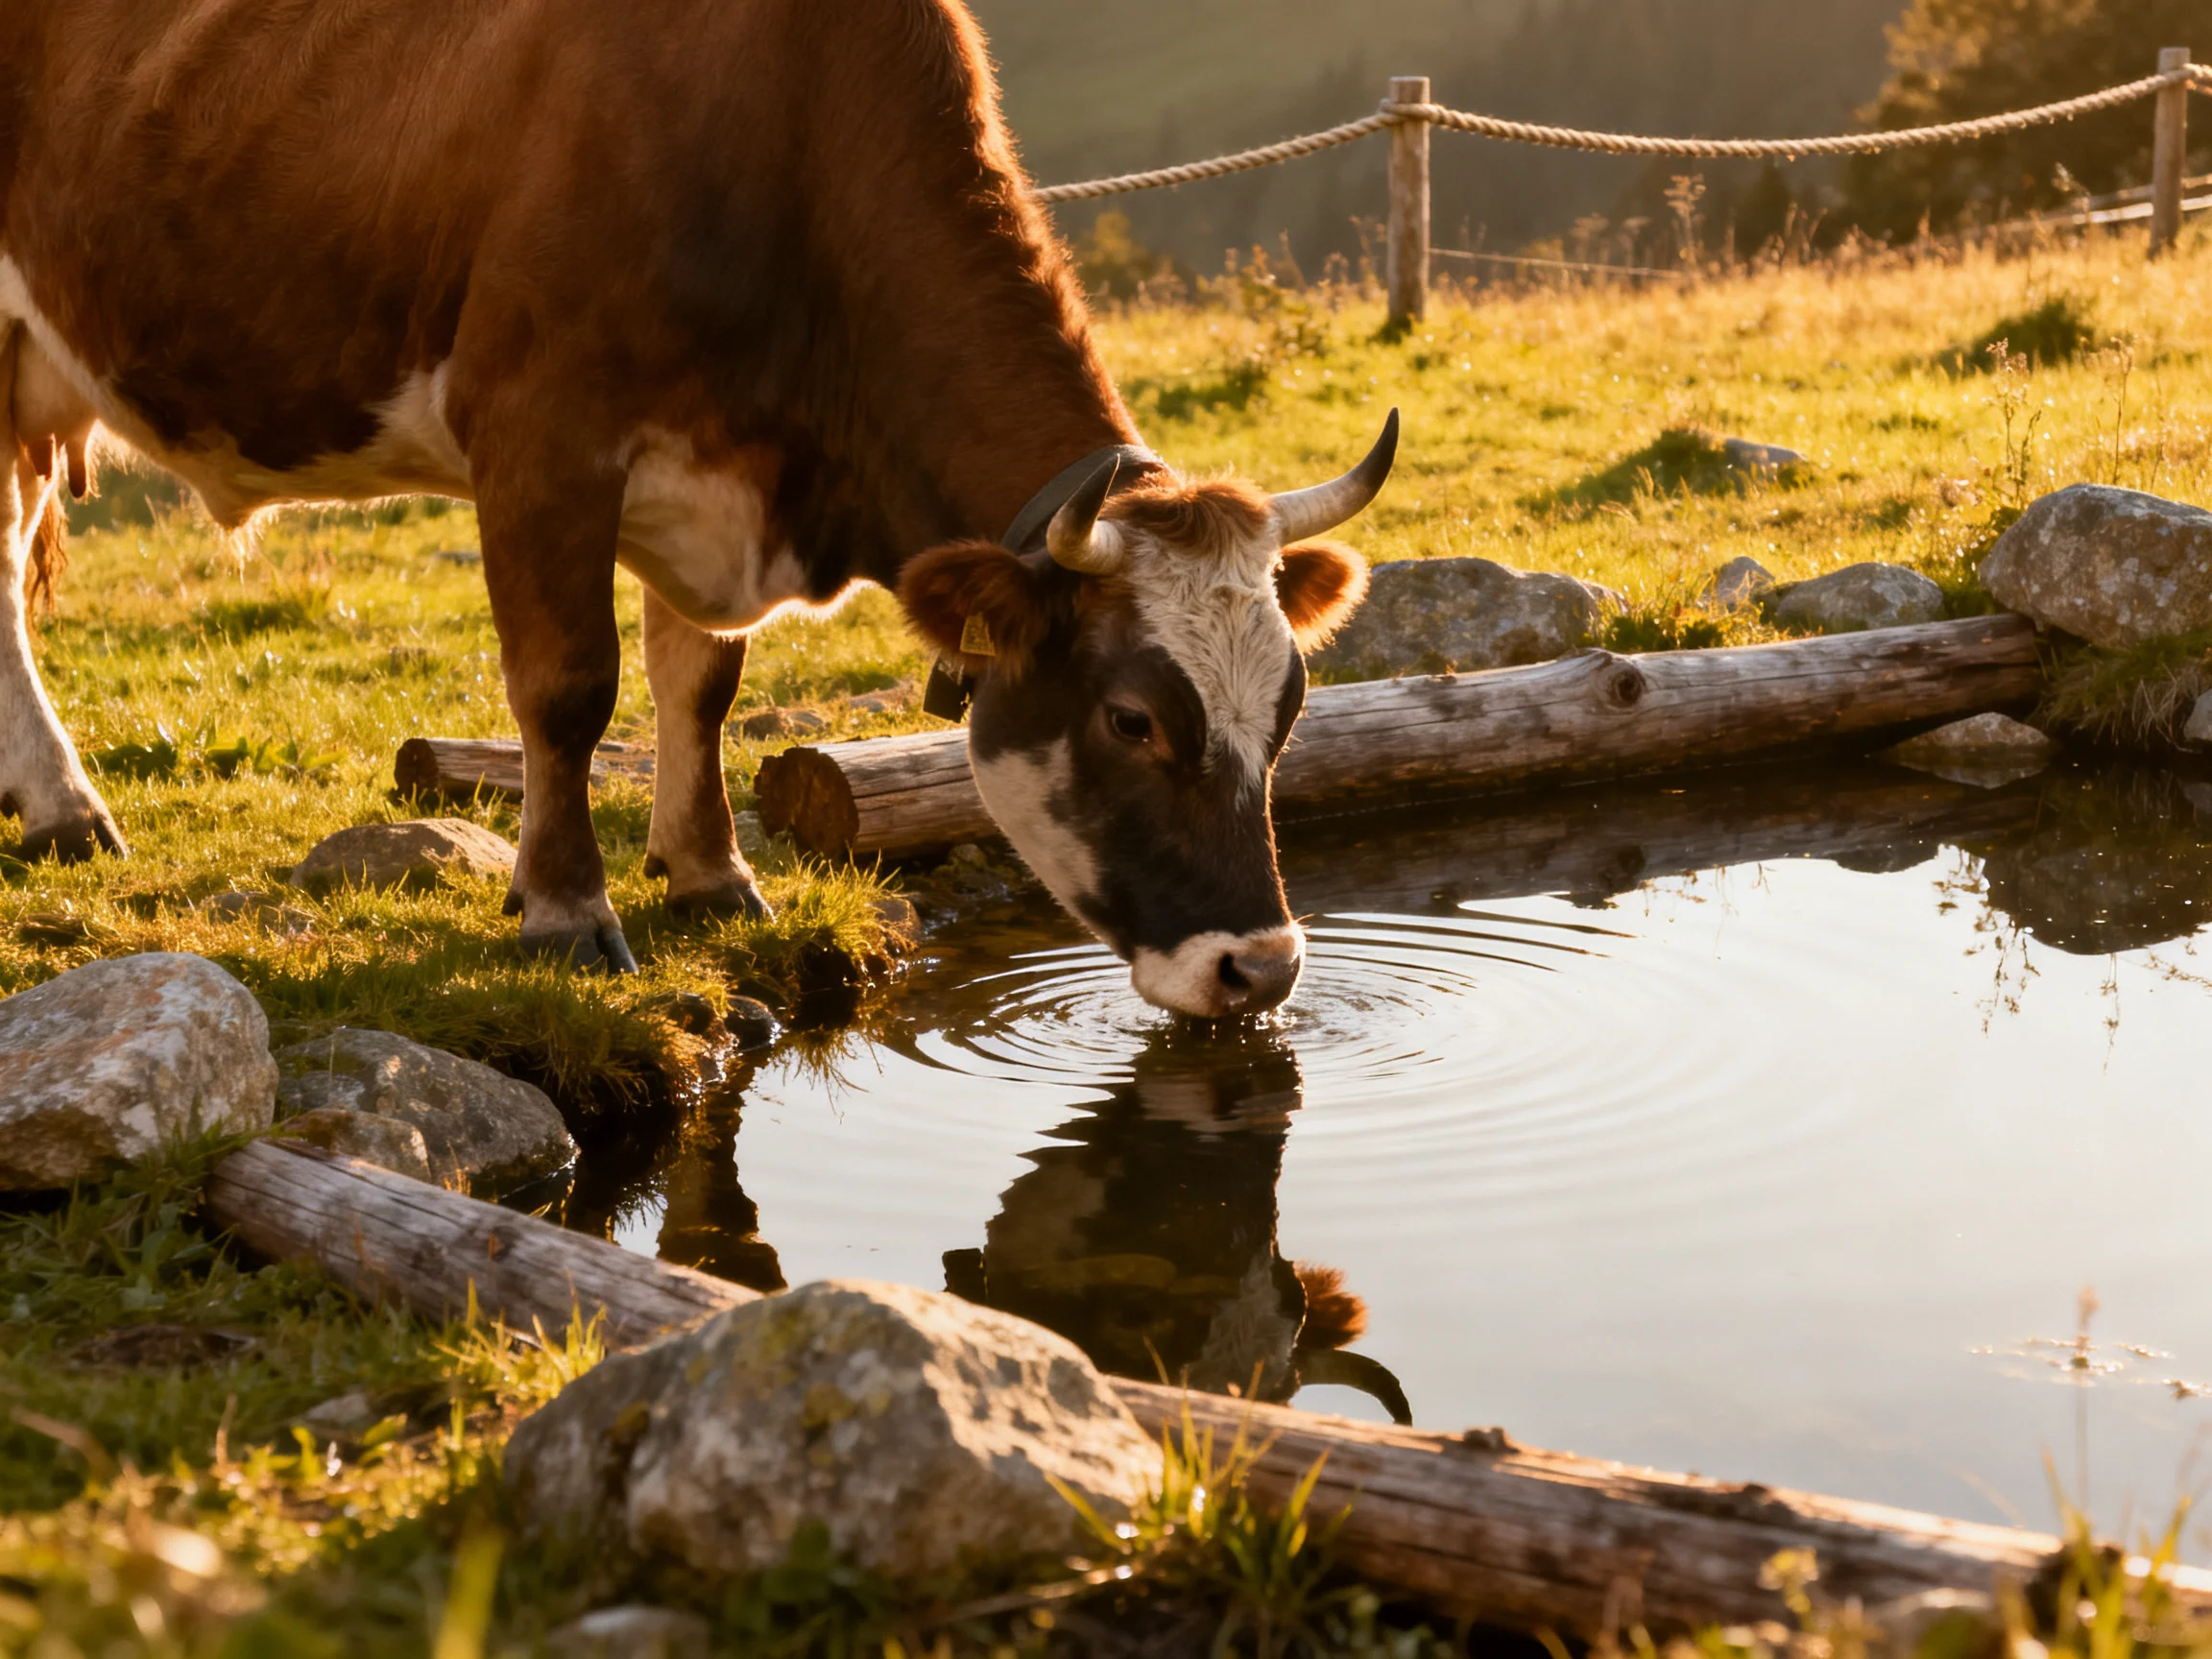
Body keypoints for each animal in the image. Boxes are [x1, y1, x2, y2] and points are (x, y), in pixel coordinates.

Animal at [0, 0, 1394, 1017]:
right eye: (1131, 721)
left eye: (1290, 708)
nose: (1262, 968)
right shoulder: (541, 430)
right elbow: (570, 689)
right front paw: (567, 913)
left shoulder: (721, 481)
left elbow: (703, 681)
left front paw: (711, 874)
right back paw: (69, 809)